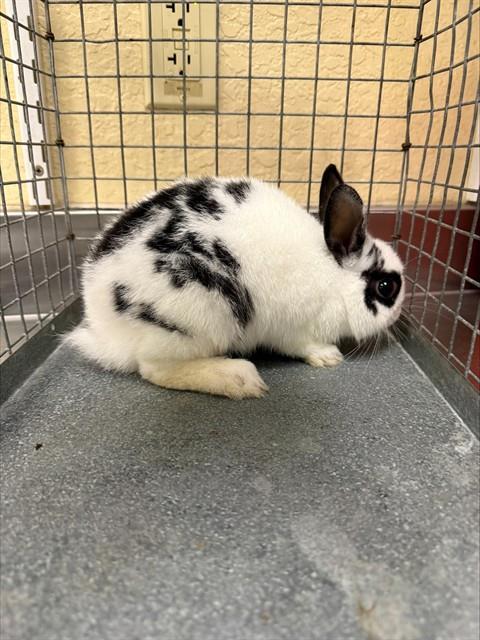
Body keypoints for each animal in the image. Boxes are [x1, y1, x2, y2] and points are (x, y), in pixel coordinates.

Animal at [67, 164, 404, 399]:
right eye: (386, 287)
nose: (399, 315)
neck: (332, 278)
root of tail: (108, 332)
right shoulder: (294, 329)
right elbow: (302, 345)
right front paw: (328, 357)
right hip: (202, 313)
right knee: (155, 368)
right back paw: (239, 379)